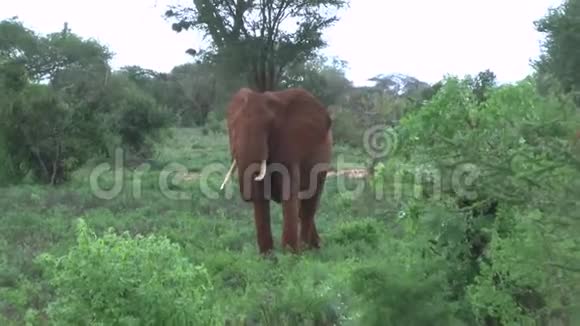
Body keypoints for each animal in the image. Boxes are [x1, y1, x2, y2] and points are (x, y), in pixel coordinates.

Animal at [220, 86, 334, 255]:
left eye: (269, 128)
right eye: (232, 130)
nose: (245, 197)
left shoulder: (290, 145)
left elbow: (288, 192)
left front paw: (290, 256)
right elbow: (260, 196)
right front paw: (267, 257)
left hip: (323, 162)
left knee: (310, 201)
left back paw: (308, 249)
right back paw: (314, 246)